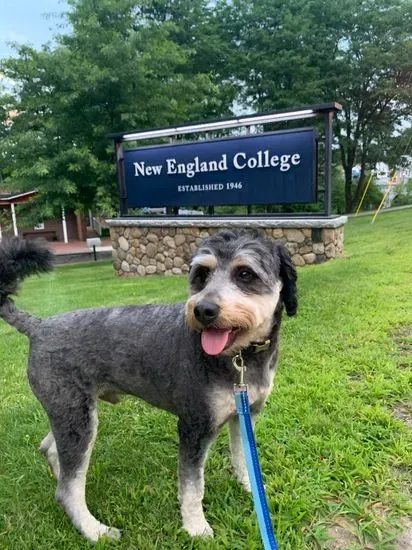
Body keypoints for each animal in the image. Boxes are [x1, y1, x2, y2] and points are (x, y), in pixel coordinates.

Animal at [0, 231, 296, 544]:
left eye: (245, 274)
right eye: (202, 274)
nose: (203, 310)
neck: (240, 357)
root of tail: (38, 327)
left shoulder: (244, 416)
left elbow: (243, 458)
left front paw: (252, 489)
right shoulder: (195, 427)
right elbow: (192, 486)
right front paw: (195, 527)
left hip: (69, 413)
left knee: (50, 449)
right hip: (77, 421)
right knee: (67, 490)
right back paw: (95, 530)